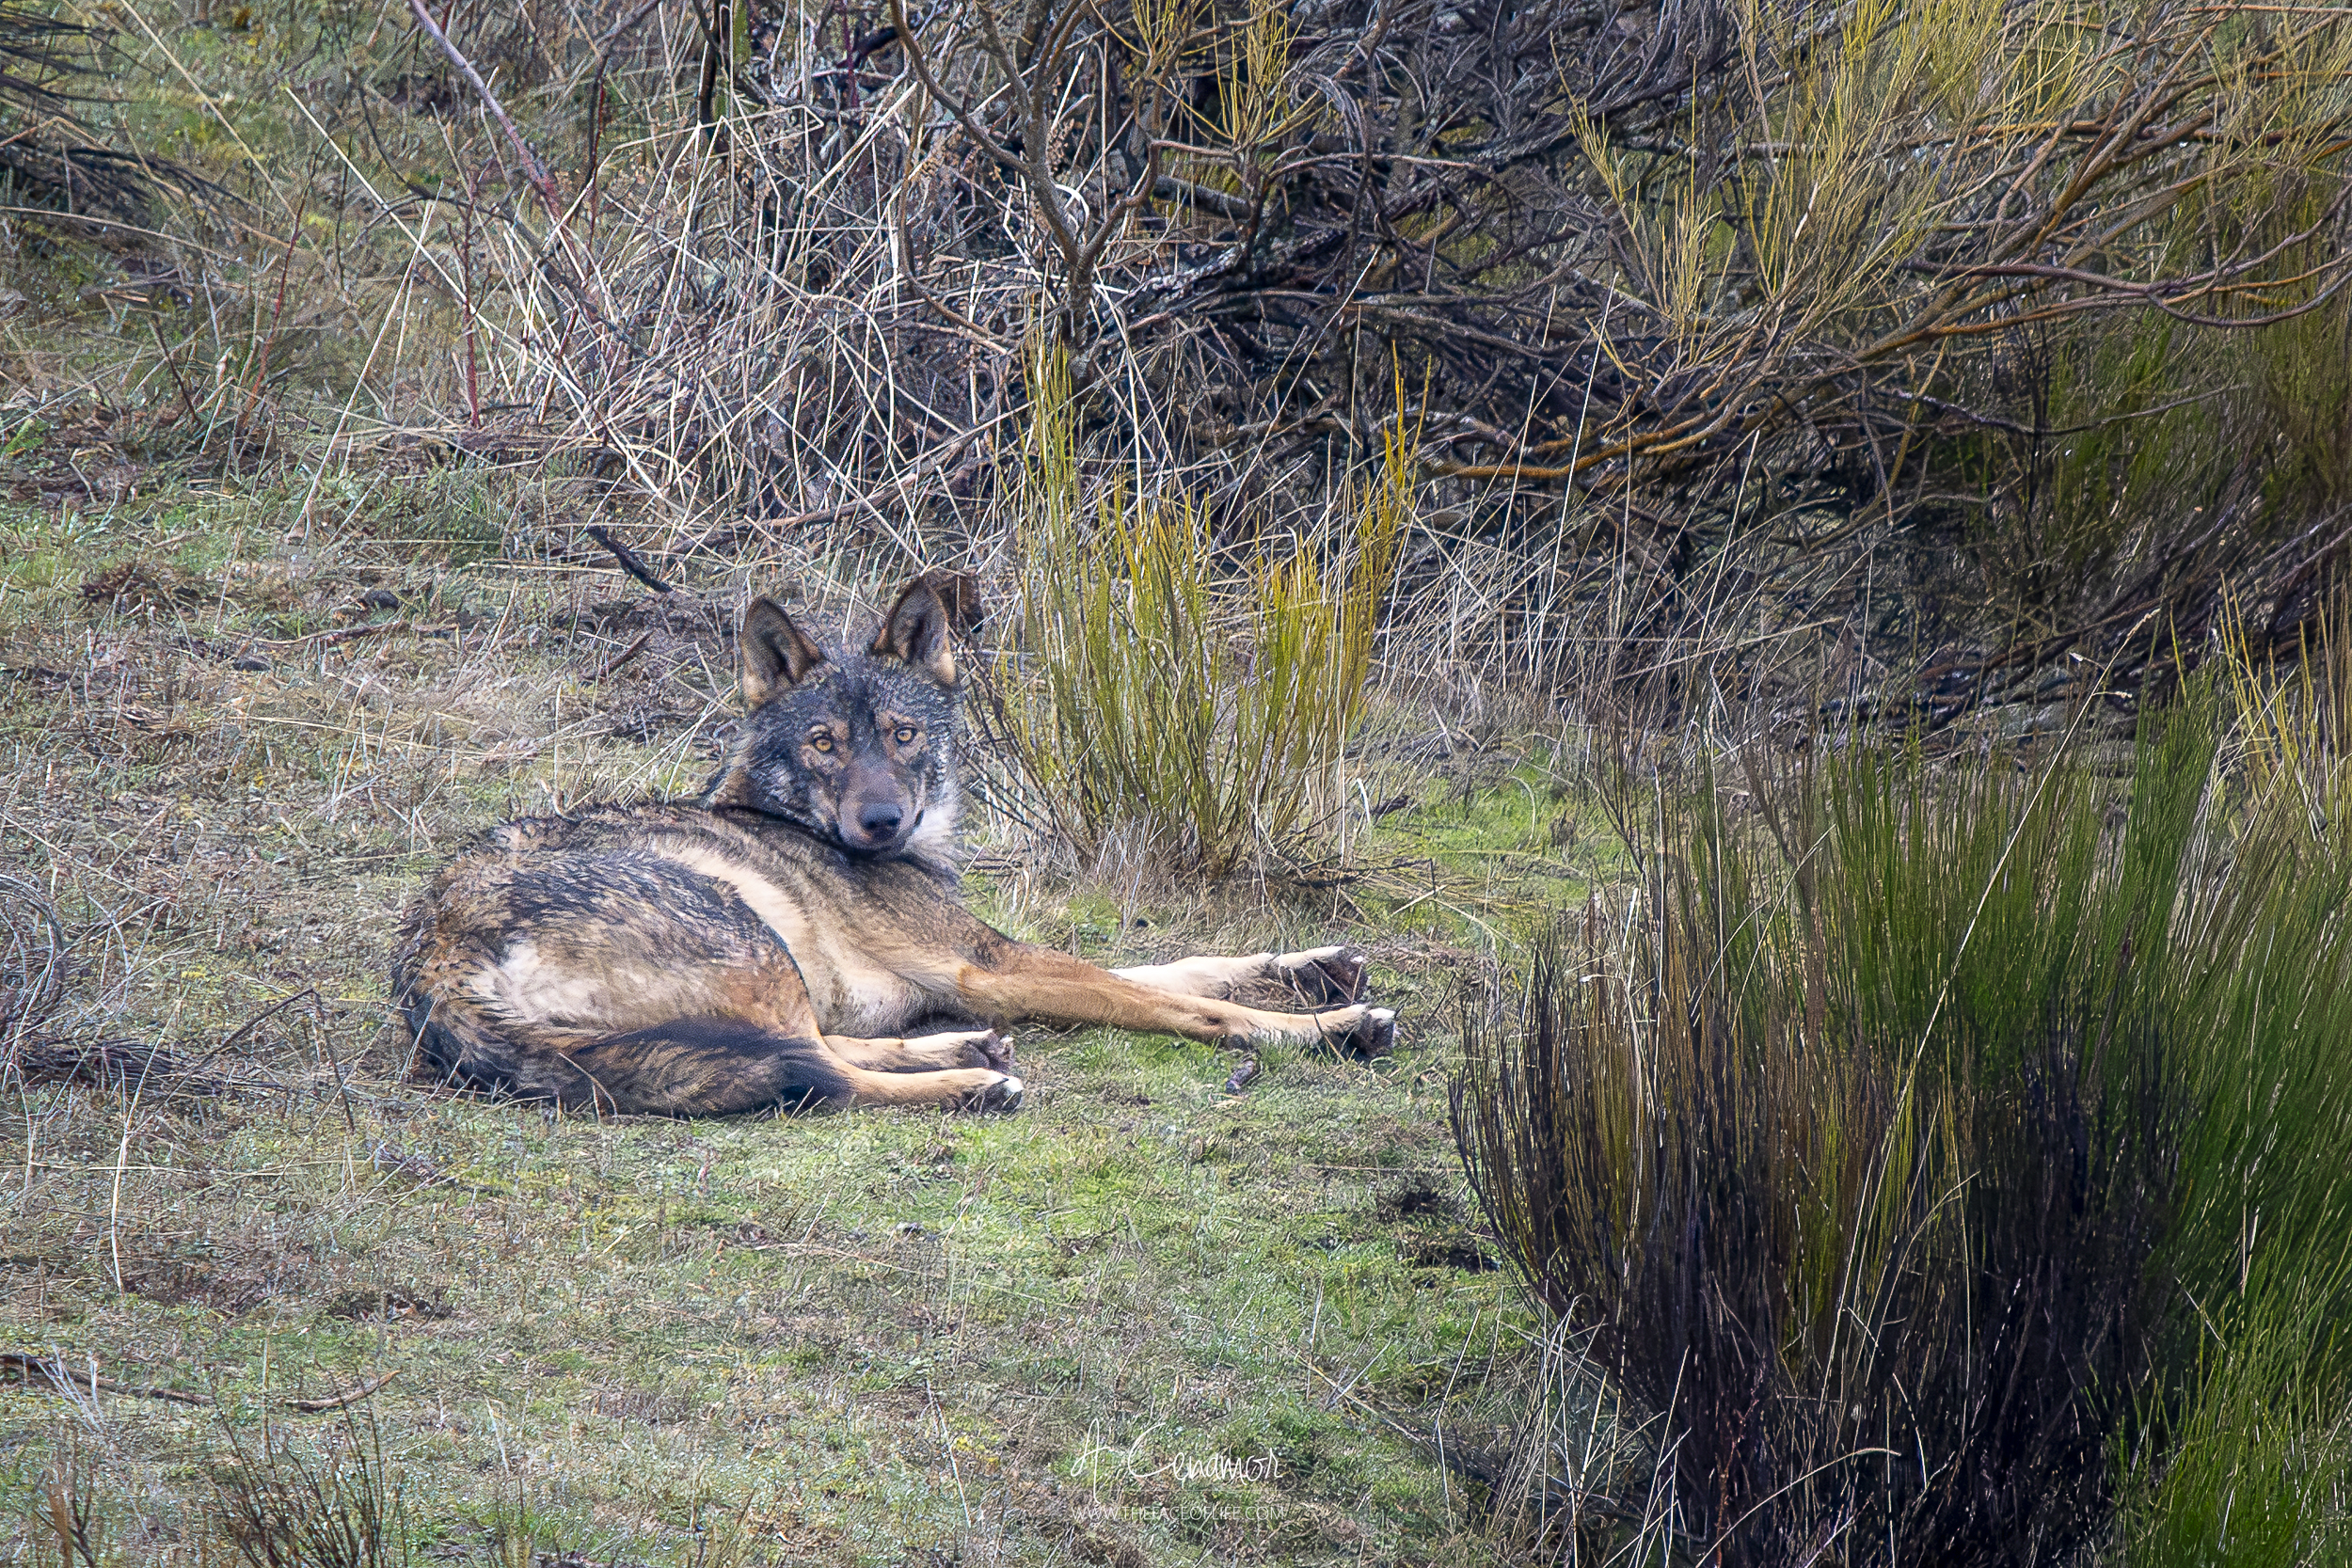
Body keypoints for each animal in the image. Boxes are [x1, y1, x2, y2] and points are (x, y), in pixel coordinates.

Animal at [388, 575, 1396, 1115]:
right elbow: (1194, 1006)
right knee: (816, 1075)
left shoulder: (988, 961)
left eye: (904, 734)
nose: (880, 823)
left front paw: (1318, 968)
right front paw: (1330, 1025)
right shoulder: (992, 965)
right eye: (825, 743)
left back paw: (966, 1053)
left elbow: (1180, 964)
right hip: (755, 943)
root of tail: (430, 955)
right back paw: (972, 1084)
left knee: (818, 1053)